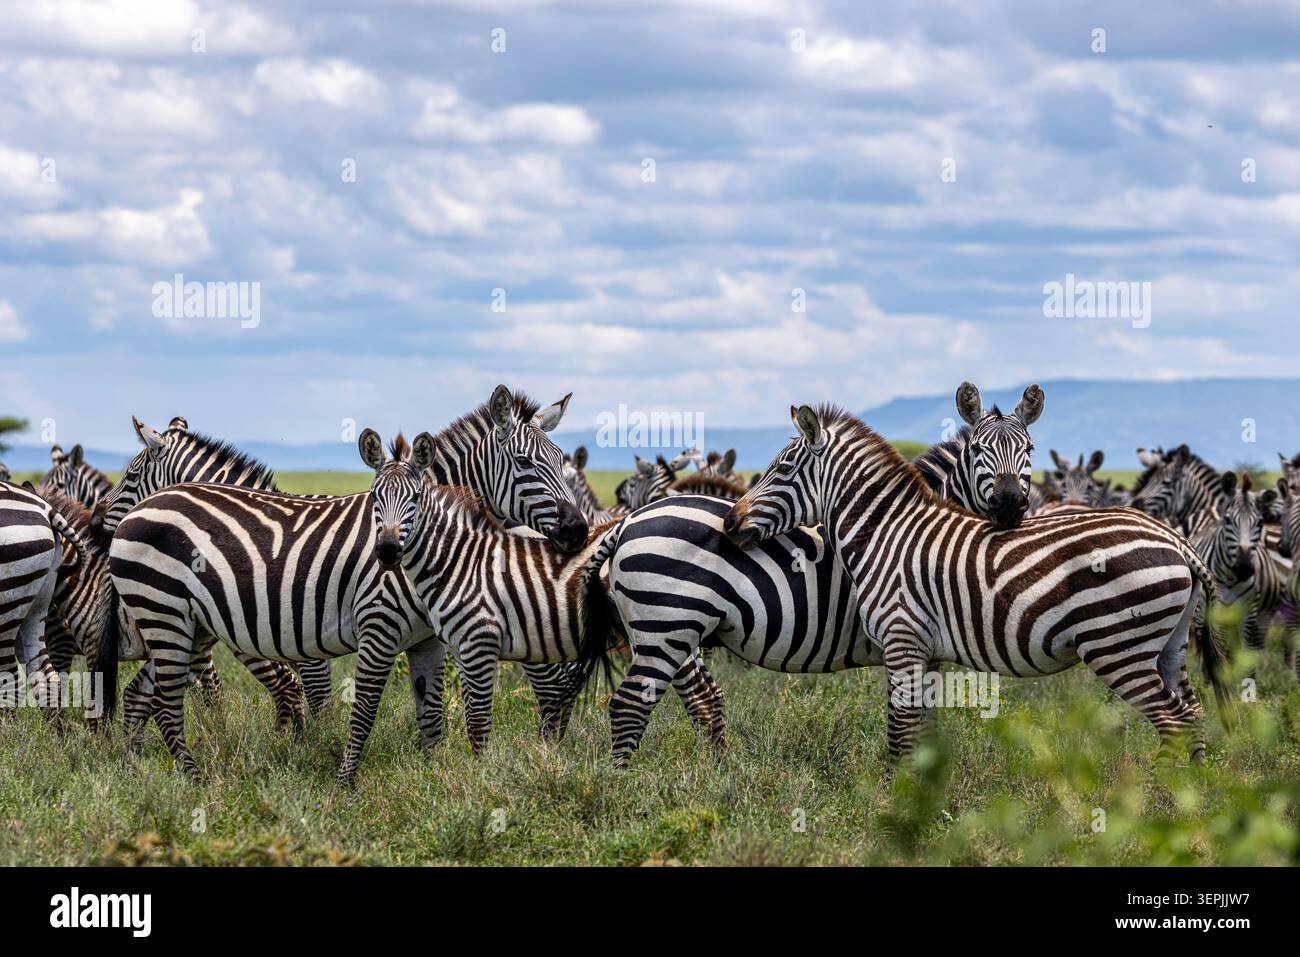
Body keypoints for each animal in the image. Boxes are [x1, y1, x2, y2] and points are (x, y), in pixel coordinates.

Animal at [104, 390, 586, 783]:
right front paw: (333, 774)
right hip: (165, 613)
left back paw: (138, 770)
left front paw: (433, 781)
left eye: (560, 460)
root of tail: (144, 510)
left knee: (144, 696)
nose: (578, 530)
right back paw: (186, 779)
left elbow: (428, 717)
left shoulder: (422, 637)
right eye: (525, 463)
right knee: (163, 699)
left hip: (184, 624)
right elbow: (351, 706)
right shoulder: (363, 624)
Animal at [710, 403, 1227, 765]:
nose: (729, 525)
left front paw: (894, 801)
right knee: (1192, 714)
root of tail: (1177, 541)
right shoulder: (926, 650)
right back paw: (1191, 801)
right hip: (1168, 645)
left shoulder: (902, 640)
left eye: (780, 470)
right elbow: (920, 731)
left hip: (1118, 645)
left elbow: (900, 731)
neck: (884, 530)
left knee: (1173, 720)